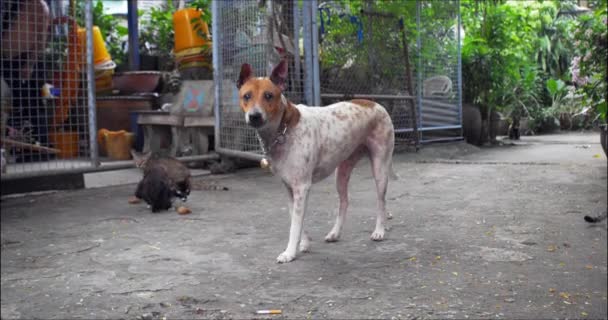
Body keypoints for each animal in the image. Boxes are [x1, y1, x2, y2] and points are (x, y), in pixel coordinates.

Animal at [235, 60, 396, 262]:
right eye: (246, 96)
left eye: (268, 96)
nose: (254, 116)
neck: (283, 129)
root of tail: (375, 104)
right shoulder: (290, 189)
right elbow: (297, 221)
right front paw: (303, 244)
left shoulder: (302, 187)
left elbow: (294, 226)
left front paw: (289, 253)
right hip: (341, 173)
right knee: (344, 202)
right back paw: (335, 233)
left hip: (380, 168)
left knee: (381, 201)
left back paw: (379, 231)